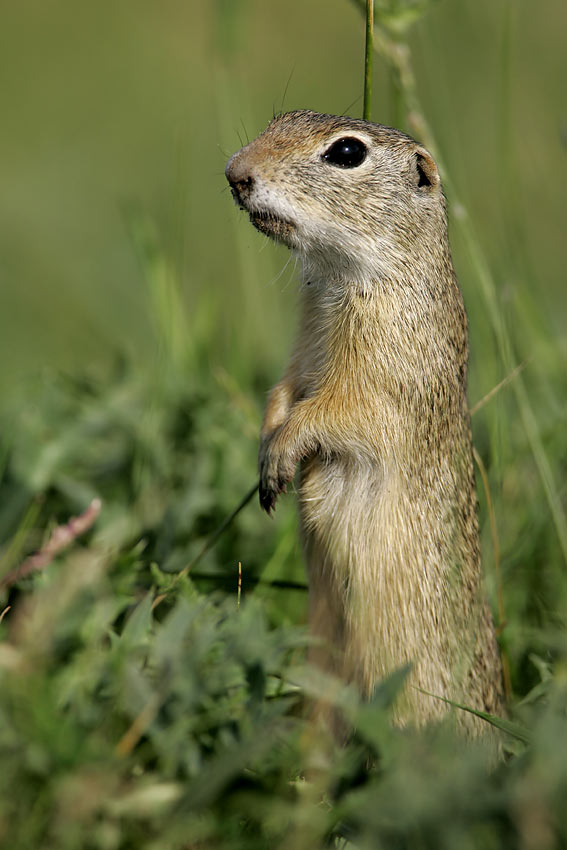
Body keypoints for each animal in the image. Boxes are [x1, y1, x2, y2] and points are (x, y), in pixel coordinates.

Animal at [224, 109, 504, 732]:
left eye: (347, 153)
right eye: (277, 119)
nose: (235, 173)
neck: (338, 278)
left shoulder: (382, 375)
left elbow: (334, 412)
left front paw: (281, 455)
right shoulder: (301, 349)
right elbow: (282, 392)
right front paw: (266, 449)